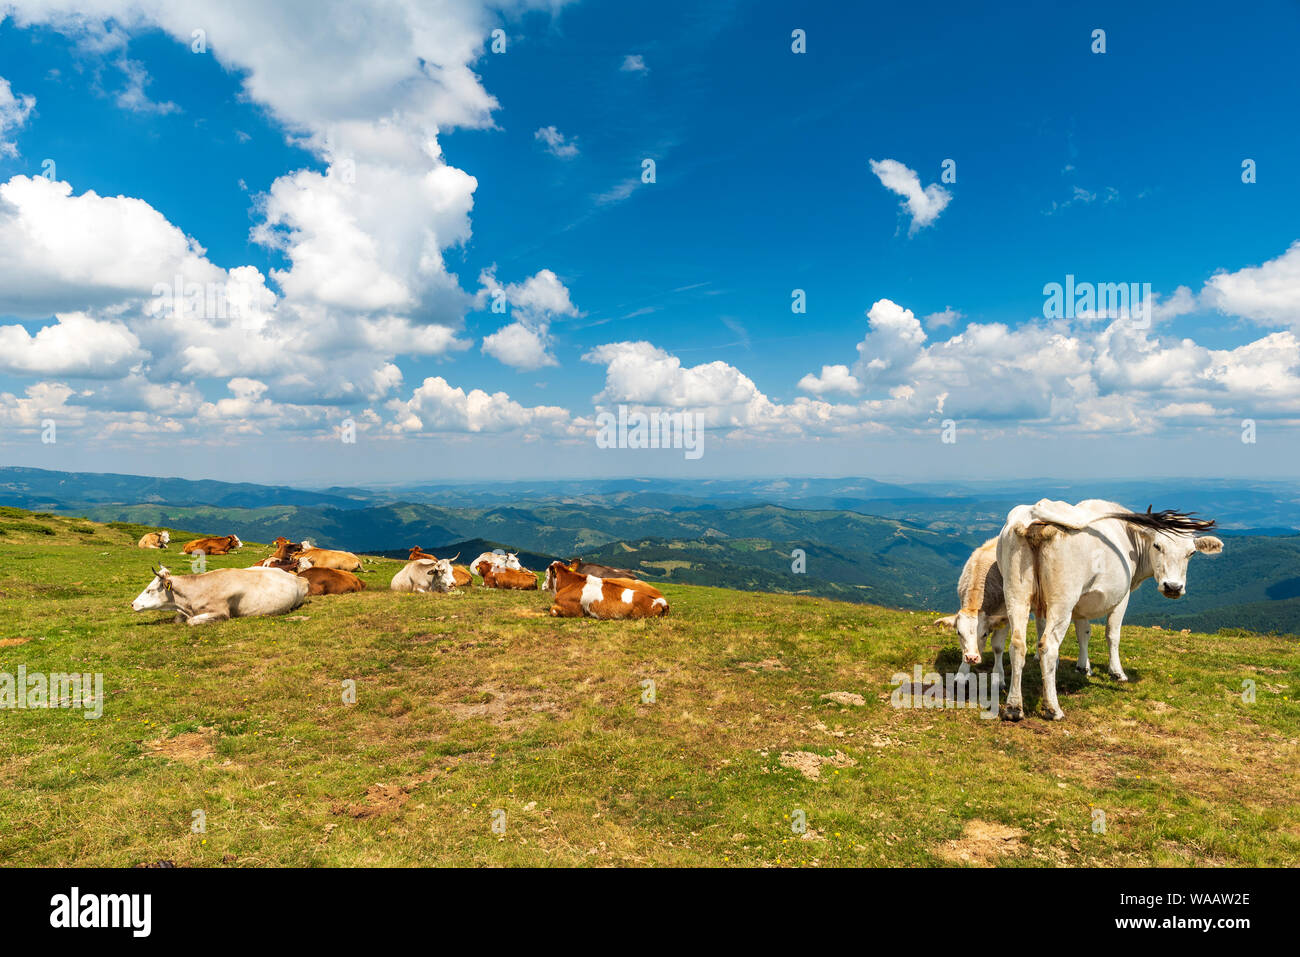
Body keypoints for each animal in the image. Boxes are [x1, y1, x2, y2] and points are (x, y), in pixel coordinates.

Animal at [130, 564, 308, 624]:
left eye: (150, 590)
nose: (132, 604)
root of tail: (299, 578)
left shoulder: (221, 612)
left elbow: (191, 622)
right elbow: (178, 619)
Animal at [998, 501, 1222, 717]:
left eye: (1191, 552)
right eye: (1157, 545)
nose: (1173, 587)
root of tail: (1035, 519)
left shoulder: (1081, 603)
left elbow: (1083, 632)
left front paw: (1084, 667)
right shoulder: (1121, 598)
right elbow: (1112, 634)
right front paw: (1117, 672)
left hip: (1016, 593)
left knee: (1017, 643)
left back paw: (1013, 707)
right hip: (1062, 600)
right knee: (1047, 646)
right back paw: (1052, 708)